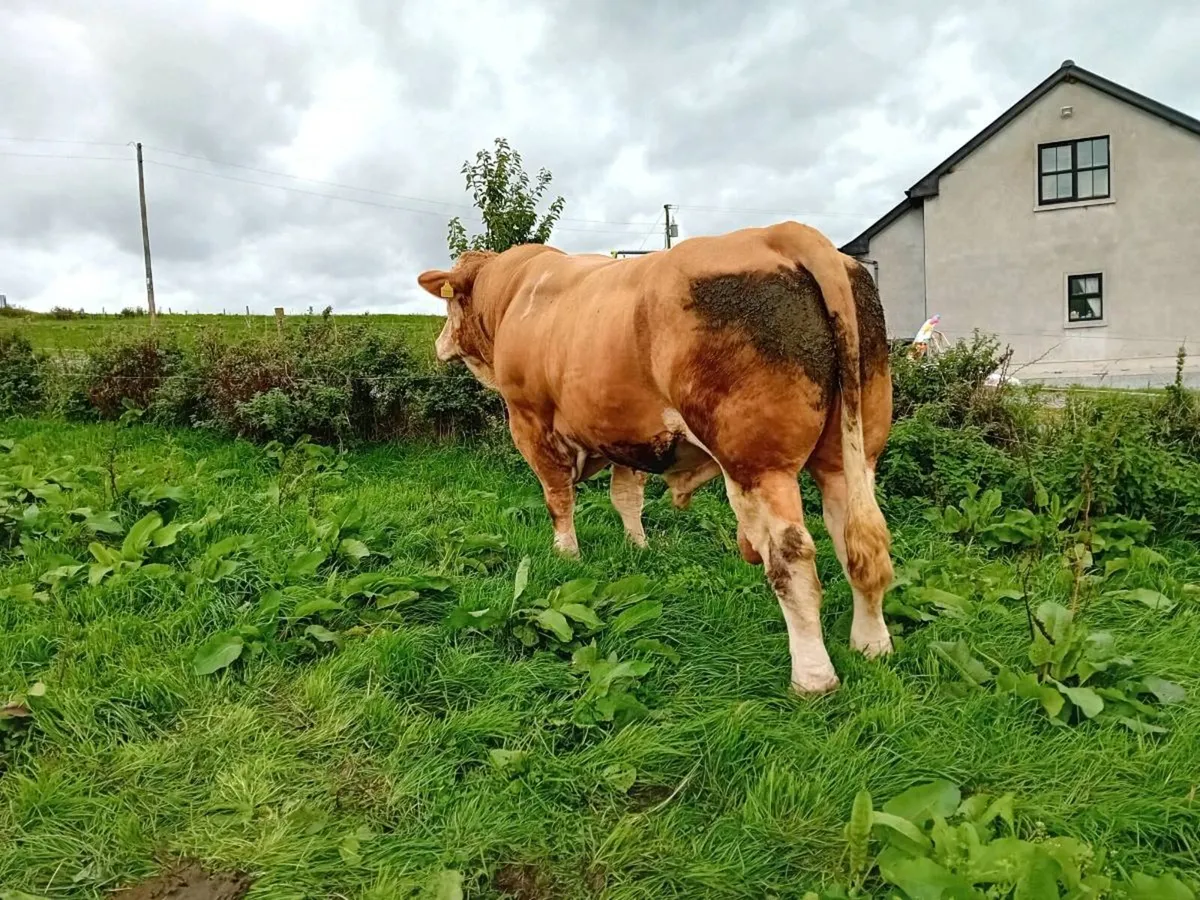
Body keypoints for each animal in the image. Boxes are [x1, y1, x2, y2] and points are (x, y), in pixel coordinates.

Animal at [416, 221, 893, 695]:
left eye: (450, 302)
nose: (439, 344)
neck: (514, 293)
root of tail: (782, 231)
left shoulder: (531, 421)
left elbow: (558, 498)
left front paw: (566, 554)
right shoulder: (625, 432)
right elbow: (627, 498)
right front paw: (638, 546)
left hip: (759, 466)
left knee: (791, 559)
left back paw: (813, 678)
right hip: (848, 457)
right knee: (857, 545)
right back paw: (871, 645)